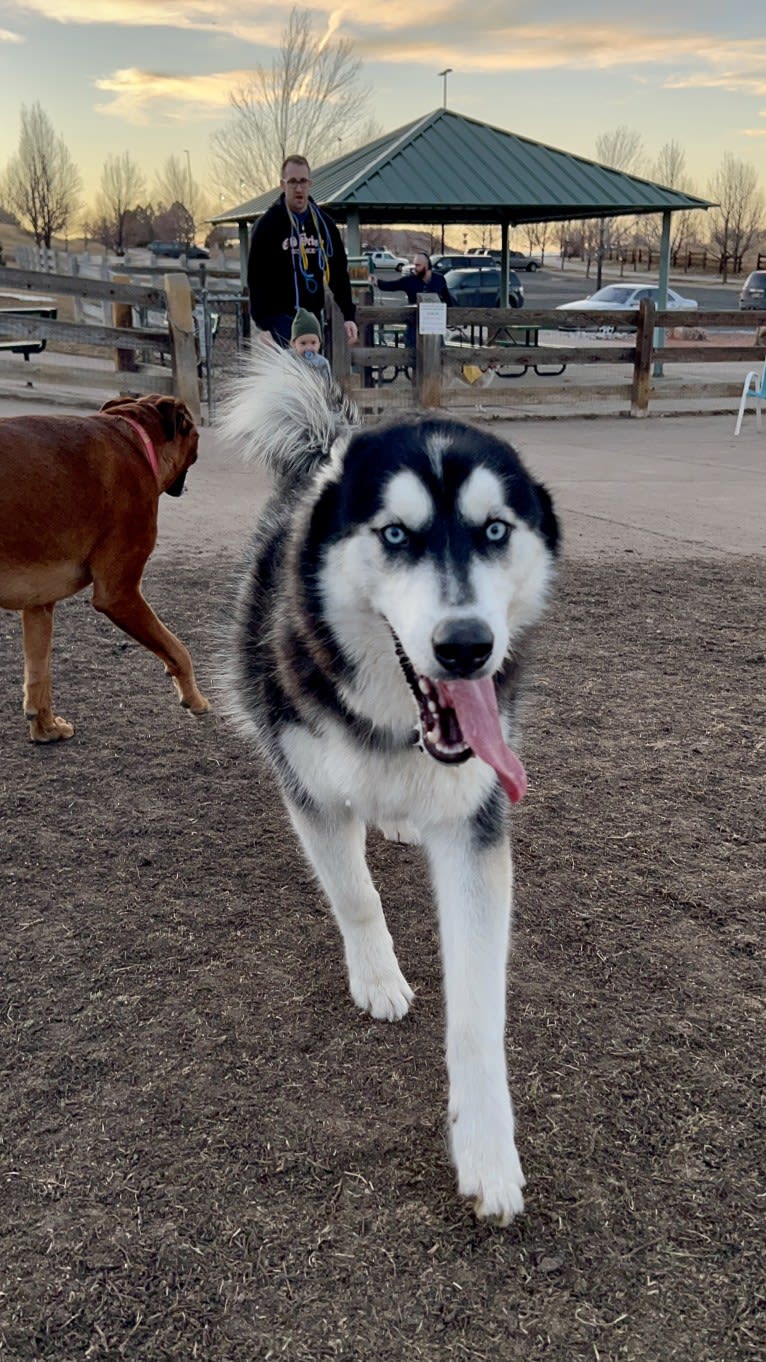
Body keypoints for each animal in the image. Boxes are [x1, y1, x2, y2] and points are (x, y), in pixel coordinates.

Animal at [0, 389, 208, 751]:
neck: (136, 441)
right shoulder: (119, 595)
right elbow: (178, 649)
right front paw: (194, 699)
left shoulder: (39, 604)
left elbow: (39, 674)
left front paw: (45, 728)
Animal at [218, 351, 558, 1225]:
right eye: (396, 535)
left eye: (494, 530)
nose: (467, 646)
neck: (396, 726)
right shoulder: (309, 790)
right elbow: (354, 893)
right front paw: (376, 976)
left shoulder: (475, 824)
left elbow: (477, 1012)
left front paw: (486, 1151)